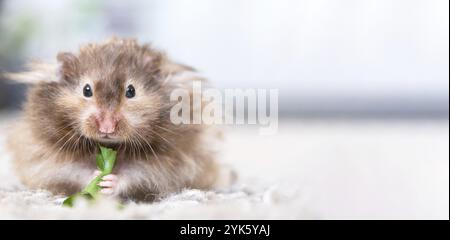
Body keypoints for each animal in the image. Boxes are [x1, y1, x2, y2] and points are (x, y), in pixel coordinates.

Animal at [5, 38, 227, 202]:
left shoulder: (171, 163)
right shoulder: (45, 156)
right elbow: (73, 171)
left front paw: (108, 182)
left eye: (131, 91)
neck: (110, 146)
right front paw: (96, 177)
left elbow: (137, 174)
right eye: (87, 90)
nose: (107, 127)